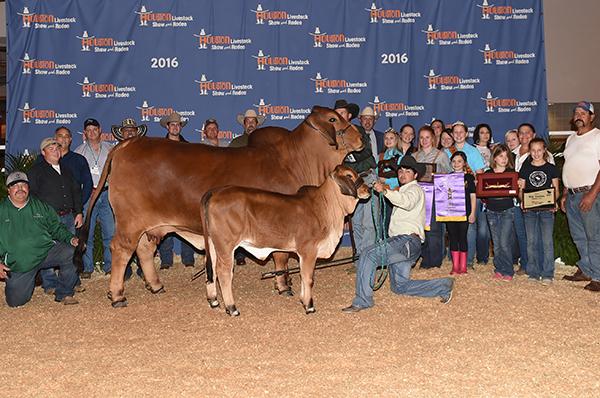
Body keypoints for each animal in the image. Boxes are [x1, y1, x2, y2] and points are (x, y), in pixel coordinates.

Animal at [77, 105, 364, 304]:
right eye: (333, 119)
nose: (361, 136)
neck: (297, 161)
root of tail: (128, 143)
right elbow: (281, 255)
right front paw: (284, 286)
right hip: (130, 220)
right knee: (122, 250)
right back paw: (117, 295)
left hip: (153, 225)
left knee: (144, 249)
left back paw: (156, 285)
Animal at [204, 166, 368, 316]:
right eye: (349, 175)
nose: (367, 189)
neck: (324, 207)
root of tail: (216, 192)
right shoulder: (308, 250)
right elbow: (308, 278)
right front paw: (309, 305)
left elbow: (302, 276)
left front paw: (303, 300)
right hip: (226, 247)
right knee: (223, 273)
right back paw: (232, 308)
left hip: (213, 246)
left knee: (211, 269)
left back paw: (214, 301)